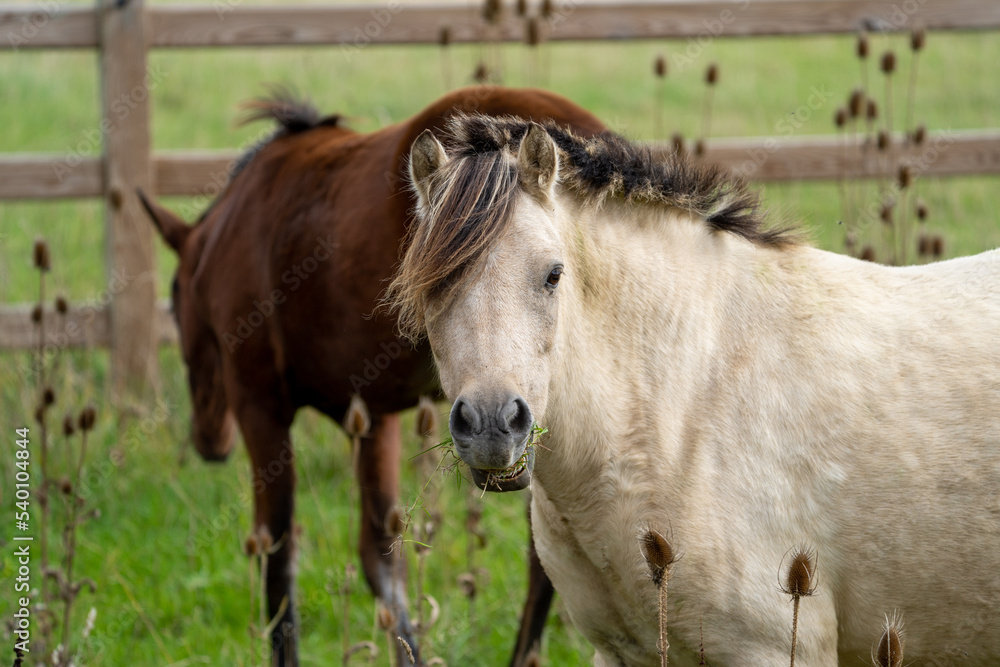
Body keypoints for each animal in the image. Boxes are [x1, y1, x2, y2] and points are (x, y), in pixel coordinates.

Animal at [141, 86, 604, 664]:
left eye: (177, 300)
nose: (208, 441)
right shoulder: (371, 415)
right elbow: (381, 554)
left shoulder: (259, 405)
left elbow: (278, 556)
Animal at [390, 116, 1000, 667]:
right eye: (431, 286)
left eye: (553, 275)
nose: (493, 425)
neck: (680, 409)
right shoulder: (621, 655)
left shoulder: (775, 651)